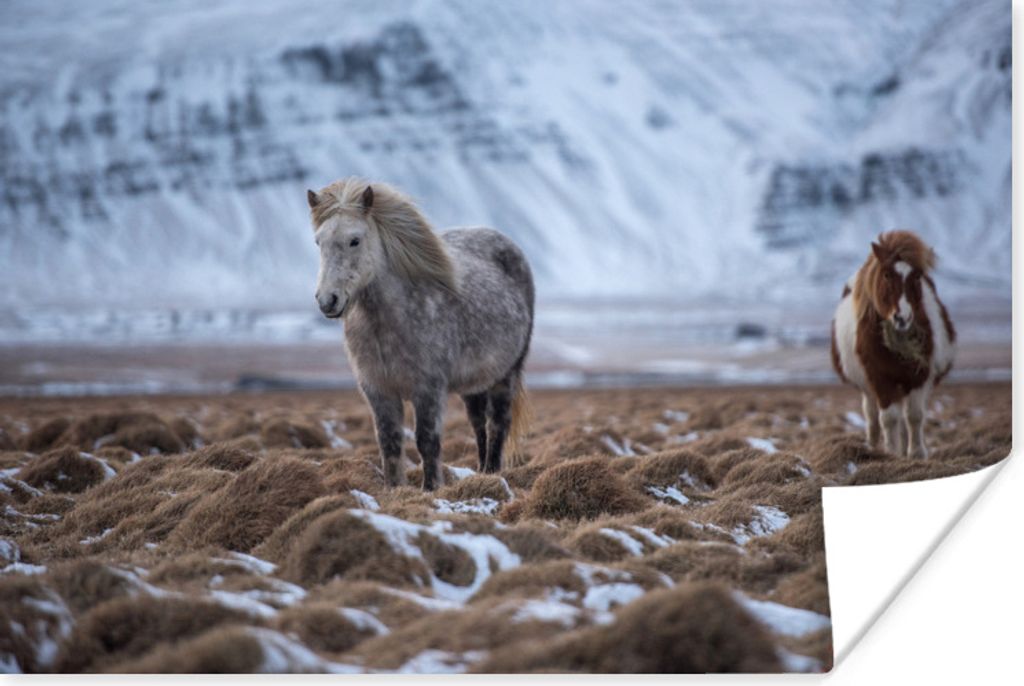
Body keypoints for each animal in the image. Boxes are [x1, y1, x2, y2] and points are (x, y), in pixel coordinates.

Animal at [306, 178, 534, 490]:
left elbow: (427, 441)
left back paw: (493, 472)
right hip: (473, 384)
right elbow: (389, 442)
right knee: (478, 424)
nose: (327, 300)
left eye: (355, 240)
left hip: (507, 374)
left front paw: (431, 488)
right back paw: (482, 472)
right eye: (319, 242)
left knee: (498, 423)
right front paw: (394, 489)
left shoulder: (428, 388)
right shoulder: (377, 390)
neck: (385, 325)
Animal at [830, 230, 956, 458]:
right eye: (887, 275)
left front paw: (916, 454)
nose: (902, 318)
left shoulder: (920, 377)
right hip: (868, 388)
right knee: (872, 417)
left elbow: (914, 416)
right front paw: (891, 454)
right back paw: (872, 447)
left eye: (917, 276)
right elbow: (888, 419)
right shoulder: (880, 379)